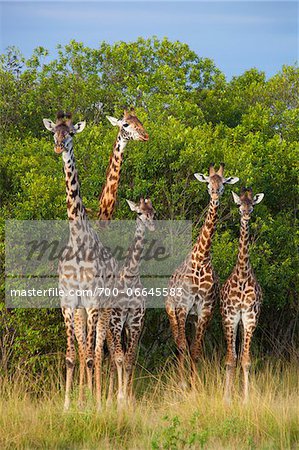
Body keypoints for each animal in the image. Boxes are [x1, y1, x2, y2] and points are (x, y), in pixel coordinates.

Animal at [166, 163, 239, 384]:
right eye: (208, 183)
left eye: (223, 184)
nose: (215, 194)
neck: (202, 259)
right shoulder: (183, 306)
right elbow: (182, 345)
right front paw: (182, 383)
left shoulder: (204, 309)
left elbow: (196, 350)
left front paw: (194, 384)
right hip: (171, 310)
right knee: (178, 341)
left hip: (192, 318)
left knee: (187, 343)